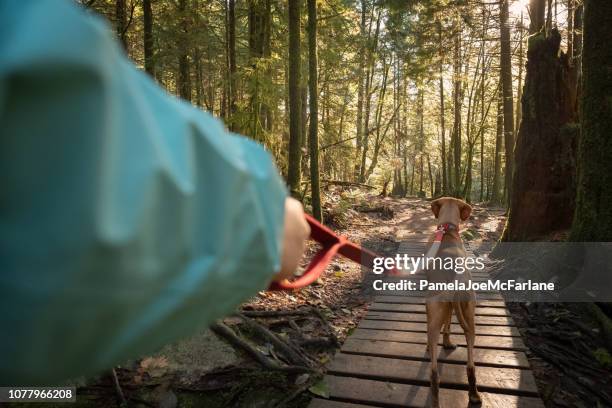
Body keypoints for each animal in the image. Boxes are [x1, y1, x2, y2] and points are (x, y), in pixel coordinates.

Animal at [424, 196, 480, 406]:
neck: (447, 229)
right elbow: (447, 325)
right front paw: (448, 343)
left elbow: (445, 325)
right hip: (469, 315)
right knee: (470, 364)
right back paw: (474, 394)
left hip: (435, 309)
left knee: (433, 371)